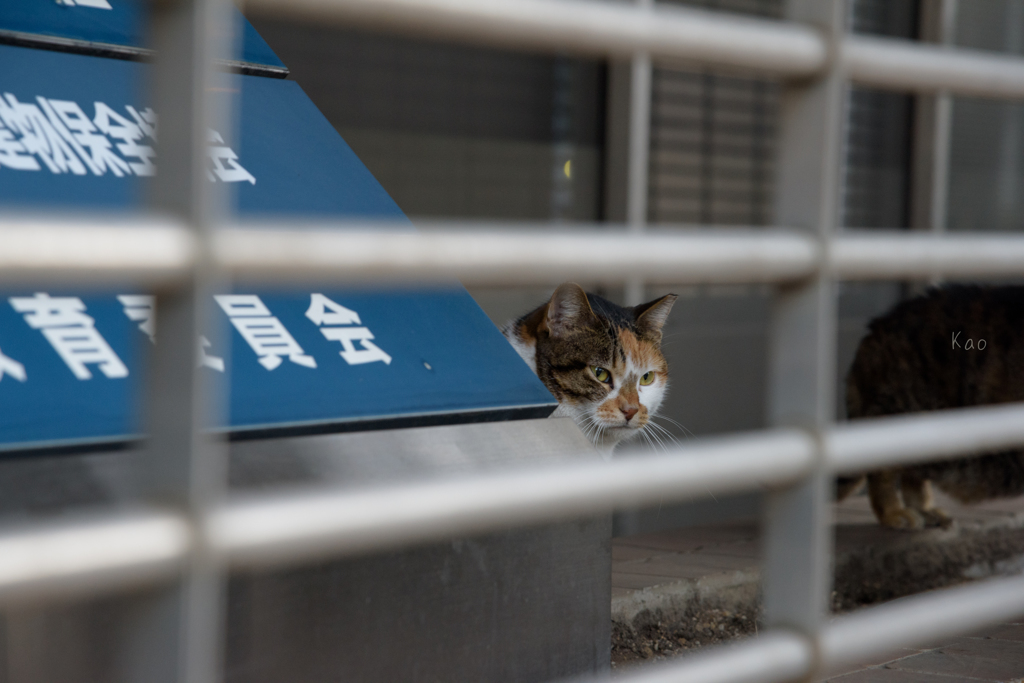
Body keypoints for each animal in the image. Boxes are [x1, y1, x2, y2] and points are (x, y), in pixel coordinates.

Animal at [839, 282, 1024, 528]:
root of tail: (876, 327)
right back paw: (894, 512)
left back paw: (924, 509)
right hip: (900, 414)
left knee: (913, 473)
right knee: (882, 471)